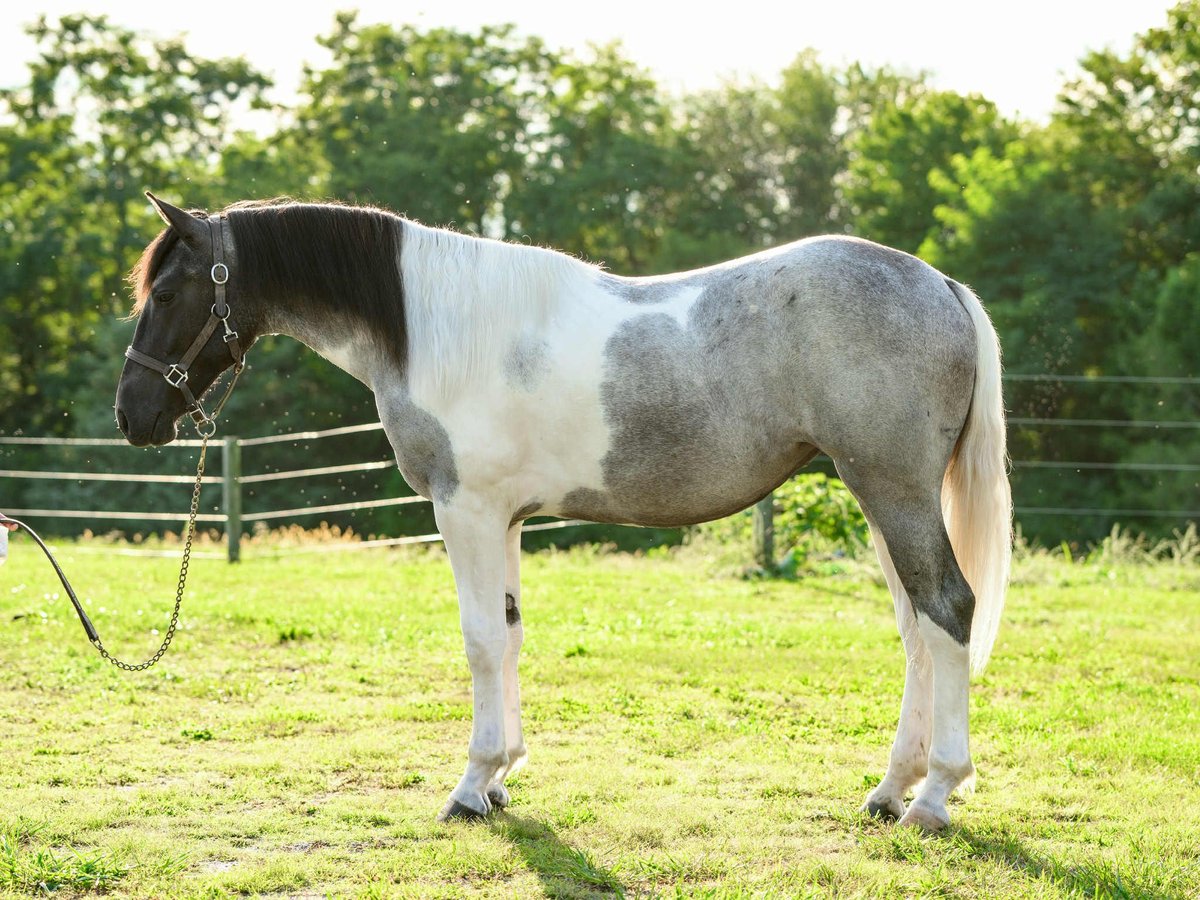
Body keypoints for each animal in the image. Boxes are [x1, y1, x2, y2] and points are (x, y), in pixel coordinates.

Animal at [115, 193, 1011, 831]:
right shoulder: (505, 519)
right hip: (883, 496)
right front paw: (502, 777)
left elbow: (480, 641)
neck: (434, 327)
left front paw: (470, 786)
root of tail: (940, 285)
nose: (133, 416)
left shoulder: (466, 511)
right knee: (917, 629)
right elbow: (510, 635)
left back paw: (934, 798)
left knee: (946, 610)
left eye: (169, 288)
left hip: (892, 490)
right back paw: (890, 790)